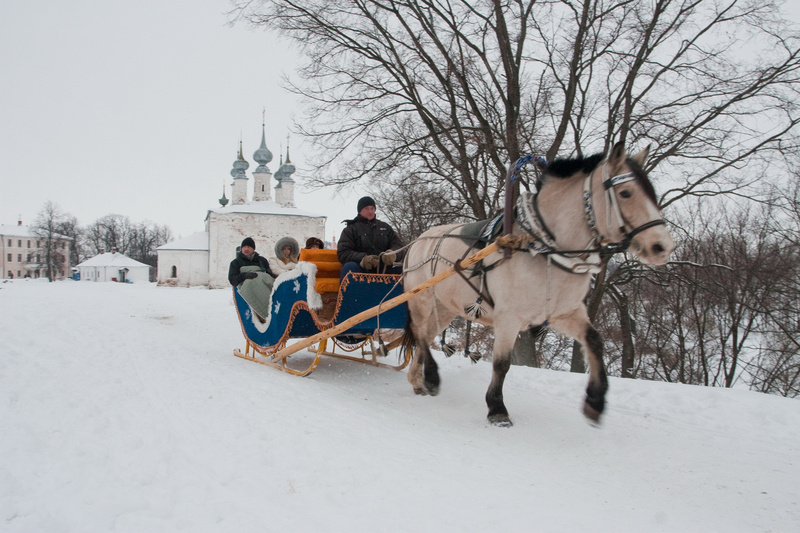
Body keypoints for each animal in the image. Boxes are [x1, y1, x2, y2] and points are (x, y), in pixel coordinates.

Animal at [404, 142, 672, 428]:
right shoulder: (508, 317)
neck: (542, 248)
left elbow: (594, 341)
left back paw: (419, 380)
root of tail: (418, 240)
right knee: (419, 332)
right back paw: (431, 376)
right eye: (625, 193)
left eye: (651, 192)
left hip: (444, 307)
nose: (663, 246)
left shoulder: (564, 313)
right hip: (421, 300)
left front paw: (595, 401)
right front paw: (497, 409)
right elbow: (501, 364)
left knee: (426, 335)